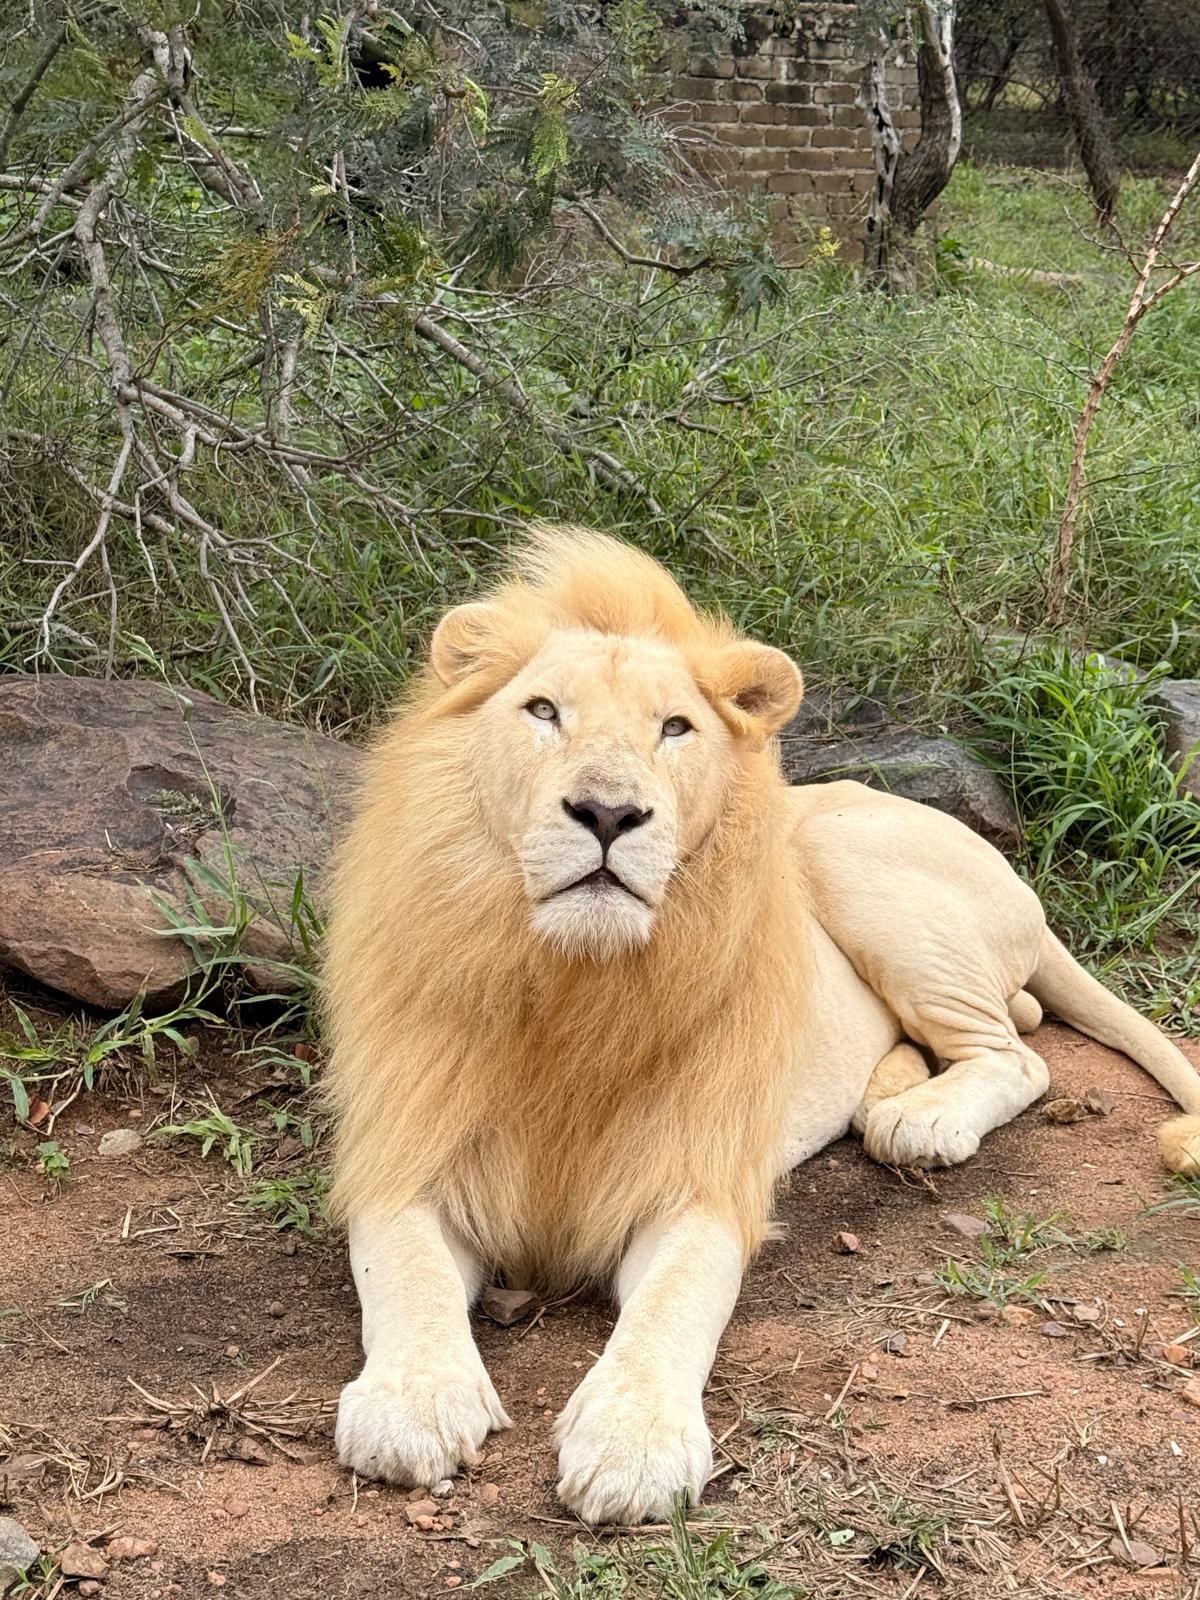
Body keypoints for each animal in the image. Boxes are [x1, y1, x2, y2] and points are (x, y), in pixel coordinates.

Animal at [324, 527, 1200, 1526]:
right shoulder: (403, 1154)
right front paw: (411, 1405)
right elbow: (404, 1274)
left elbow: (673, 1307)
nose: (609, 813)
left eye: (676, 728)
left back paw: (920, 1119)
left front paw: (633, 1445)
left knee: (1019, 1053)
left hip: (845, 856)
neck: (576, 984)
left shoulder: (695, 1183)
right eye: (542, 711)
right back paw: (890, 1088)